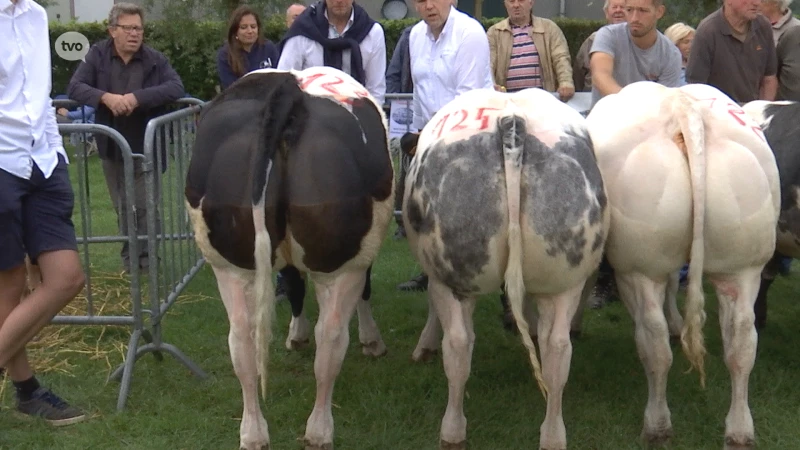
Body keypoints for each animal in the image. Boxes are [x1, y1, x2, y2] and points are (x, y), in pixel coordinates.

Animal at [182, 67, 394, 450]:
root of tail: (288, 89)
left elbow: (293, 286)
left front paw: (296, 334)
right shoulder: (362, 252)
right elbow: (361, 291)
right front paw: (371, 340)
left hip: (230, 264)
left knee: (241, 338)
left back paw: (253, 432)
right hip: (338, 263)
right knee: (331, 337)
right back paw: (319, 431)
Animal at [404, 88, 608, 450]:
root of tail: (511, 119)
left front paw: (424, 347)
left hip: (453, 272)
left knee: (458, 345)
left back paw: (452, 431)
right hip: (564, 273)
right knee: (557, 350)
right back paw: (552, 435)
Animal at [584, 81, 780, 450]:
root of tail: (683, 109)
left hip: (640, 266)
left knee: (655, 344)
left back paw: (657, 425)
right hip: (744, 264)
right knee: (742, 343)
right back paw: (739, 431)